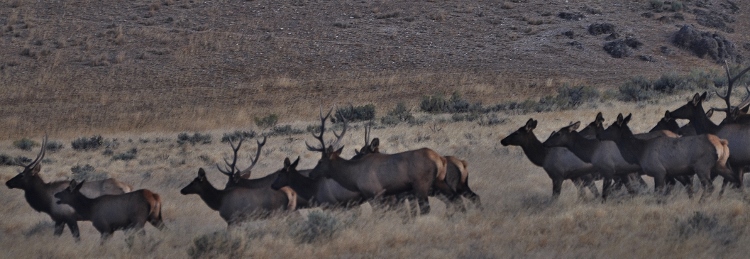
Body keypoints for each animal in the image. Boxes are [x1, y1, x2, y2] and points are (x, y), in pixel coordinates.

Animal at [304, 108, 458, 215]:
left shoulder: (375, 193)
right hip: (439, 183)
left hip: (422, 185)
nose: (311, 174)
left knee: (428, 208)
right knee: (455, 198)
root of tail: (440, 159)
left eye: (320, 161)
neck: (353, 176)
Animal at [600, 114, 740, 201]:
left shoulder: (659, 171)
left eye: (610, 127)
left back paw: (701, 202)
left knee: (710, 186)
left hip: (702, 167)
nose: (599, 135)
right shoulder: (669, 172)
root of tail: (722, 143)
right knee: (734, 179)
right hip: (720, 164)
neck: (640, 152)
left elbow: (657, 193)